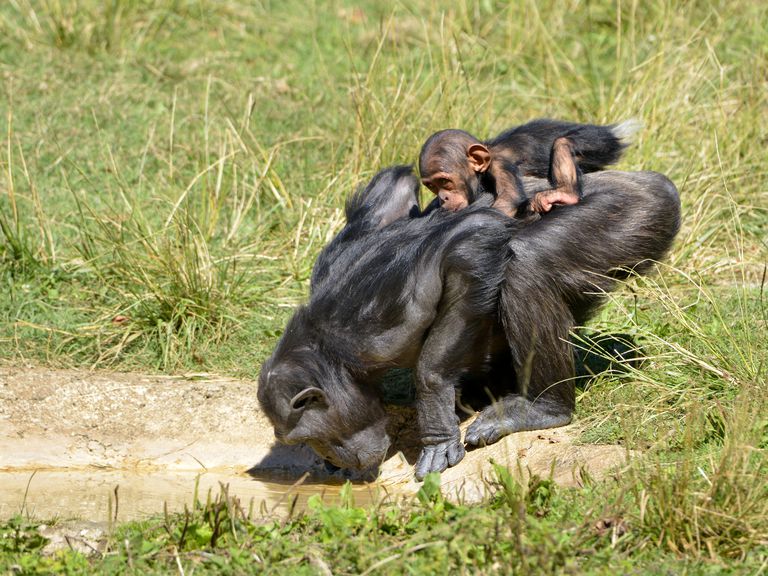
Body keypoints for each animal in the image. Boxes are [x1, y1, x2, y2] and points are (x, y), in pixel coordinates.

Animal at [258, 164, 680, 480]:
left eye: (309, 437)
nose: (331, 458)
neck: (333, 354)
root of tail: (654, 181)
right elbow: (393, 188)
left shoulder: (379, 327)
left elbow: (470, 244)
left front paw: (435, 428)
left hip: (633, 215)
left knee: (528, 261)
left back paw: (541, 407)